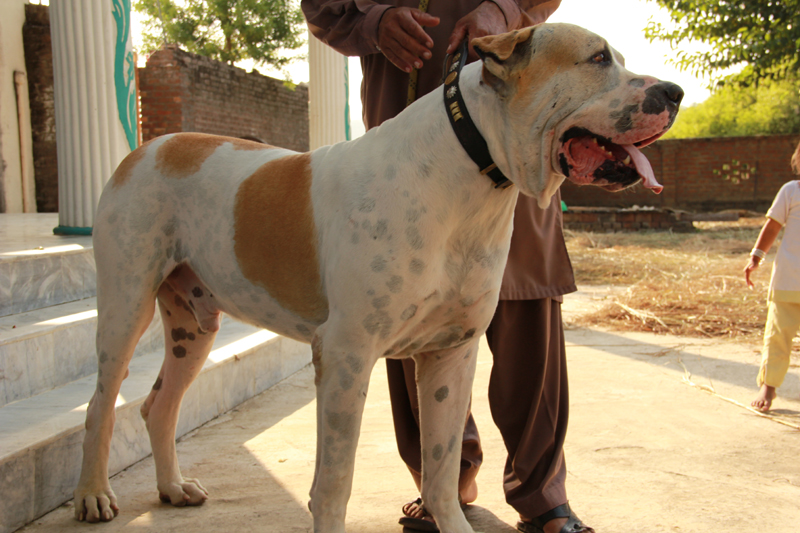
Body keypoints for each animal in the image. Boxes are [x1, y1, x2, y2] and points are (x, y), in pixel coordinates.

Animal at [73, 23, 680, 532]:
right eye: (598, 58)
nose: (674, 92)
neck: (471, 169)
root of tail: (150, 146)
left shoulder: (451, 354)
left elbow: (441, 472)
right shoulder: (346, 355)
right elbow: (335, 482)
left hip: (194, 326)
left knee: (157, 406)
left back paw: (173, 488)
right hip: (125, 305)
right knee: (101, 405)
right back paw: (93, 496)